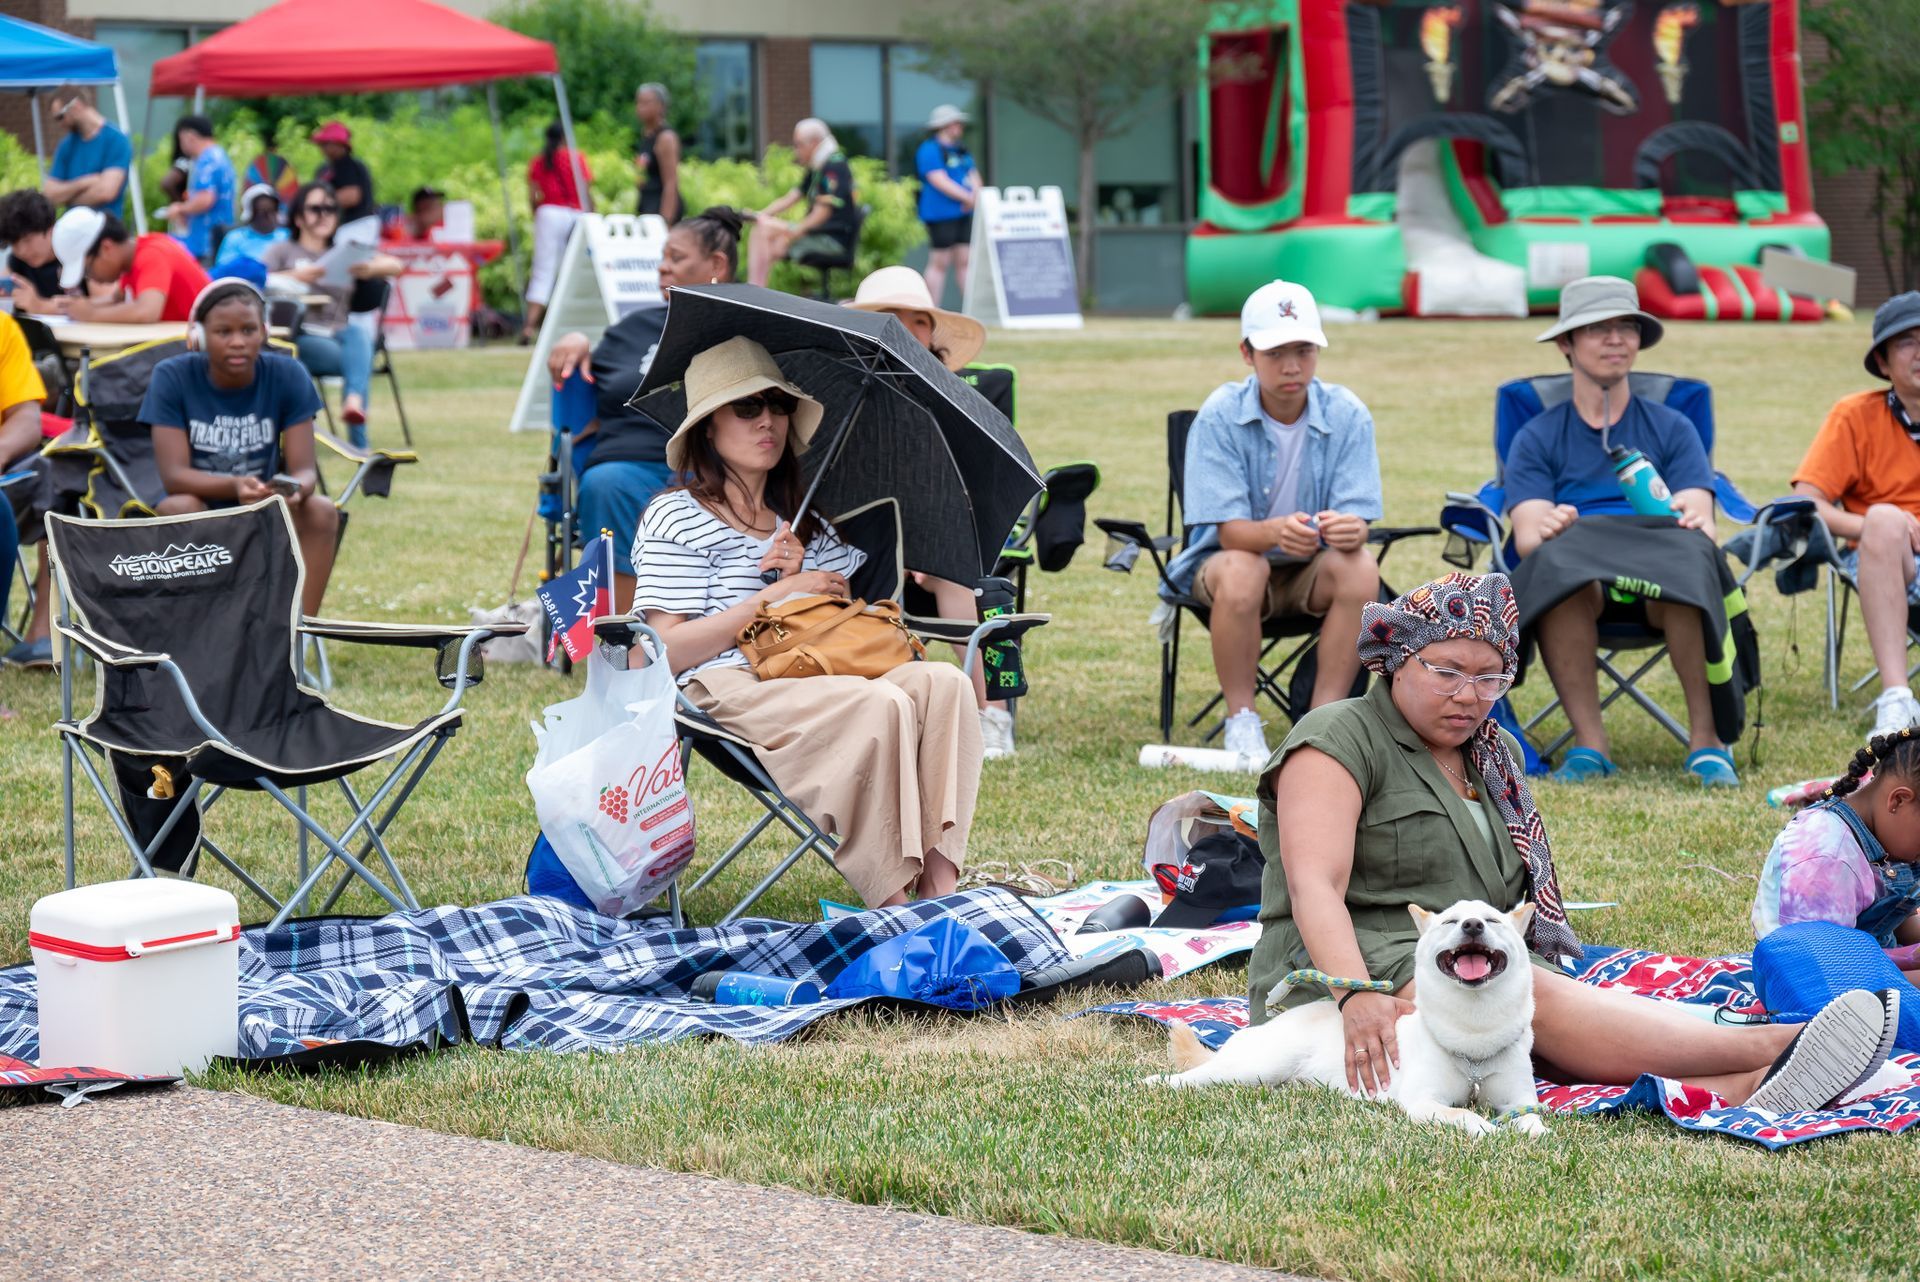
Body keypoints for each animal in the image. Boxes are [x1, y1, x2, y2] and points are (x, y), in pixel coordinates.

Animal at [1149, 899, 1547, 1138]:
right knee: (1192, 1077)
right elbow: (1464, 1116)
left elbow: (1533, 1120)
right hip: (1254, 1067)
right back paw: (1151, 1082)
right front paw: (1487, 1129)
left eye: (1493, 920)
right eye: (1451, 920)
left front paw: (1535, 1135)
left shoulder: (1518, 1098)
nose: (1472, 925)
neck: (1474, 1035)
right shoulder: (1422, 1102)